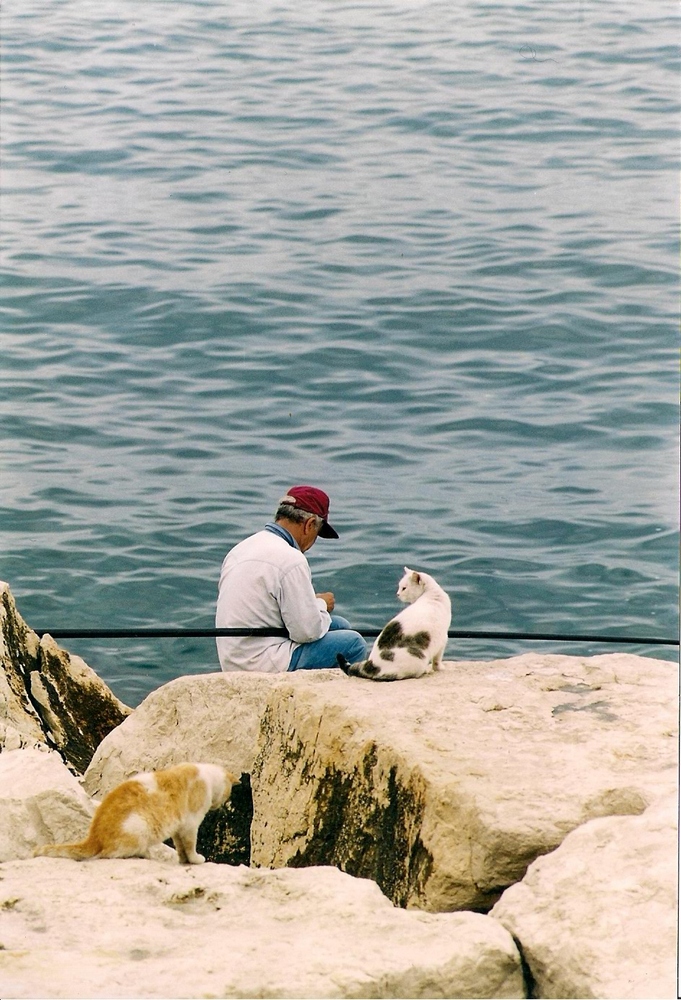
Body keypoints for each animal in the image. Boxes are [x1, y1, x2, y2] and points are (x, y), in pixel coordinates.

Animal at [36, 760, 242, 864]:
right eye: (228, 793)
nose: (220, 804)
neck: (206, 776)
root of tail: (94, 836)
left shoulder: (178, 828)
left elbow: (180, 847)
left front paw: (183, 860)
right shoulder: (190, 825)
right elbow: (190, 845)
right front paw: (195, 859)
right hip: (138, 826)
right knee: (108, 854)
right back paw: (145, 854)